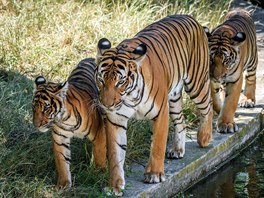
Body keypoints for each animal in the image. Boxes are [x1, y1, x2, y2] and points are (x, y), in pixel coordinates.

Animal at [32, 57, 106, 189]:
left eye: (46, 108)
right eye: (34, 107)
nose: (36, 125)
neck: (66, 120)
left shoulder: (99, 131)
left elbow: (100, 153)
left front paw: (99, 173)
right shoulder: (60, 138)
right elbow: (62, 162)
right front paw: (63, 184)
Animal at [95, 14, 212, 196]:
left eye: (120, 82)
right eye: (101, 79)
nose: (106, 104)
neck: (130, 97)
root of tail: (189, 17)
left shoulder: (160, 112)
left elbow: (157, 145)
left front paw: (154, 175)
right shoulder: (115, 119)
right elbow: (115, 154)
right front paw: (115, 186)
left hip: (196, 84)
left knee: (208, 106)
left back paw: (204, 137)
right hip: (174, 97)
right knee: (181, 121)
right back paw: (177, 150)